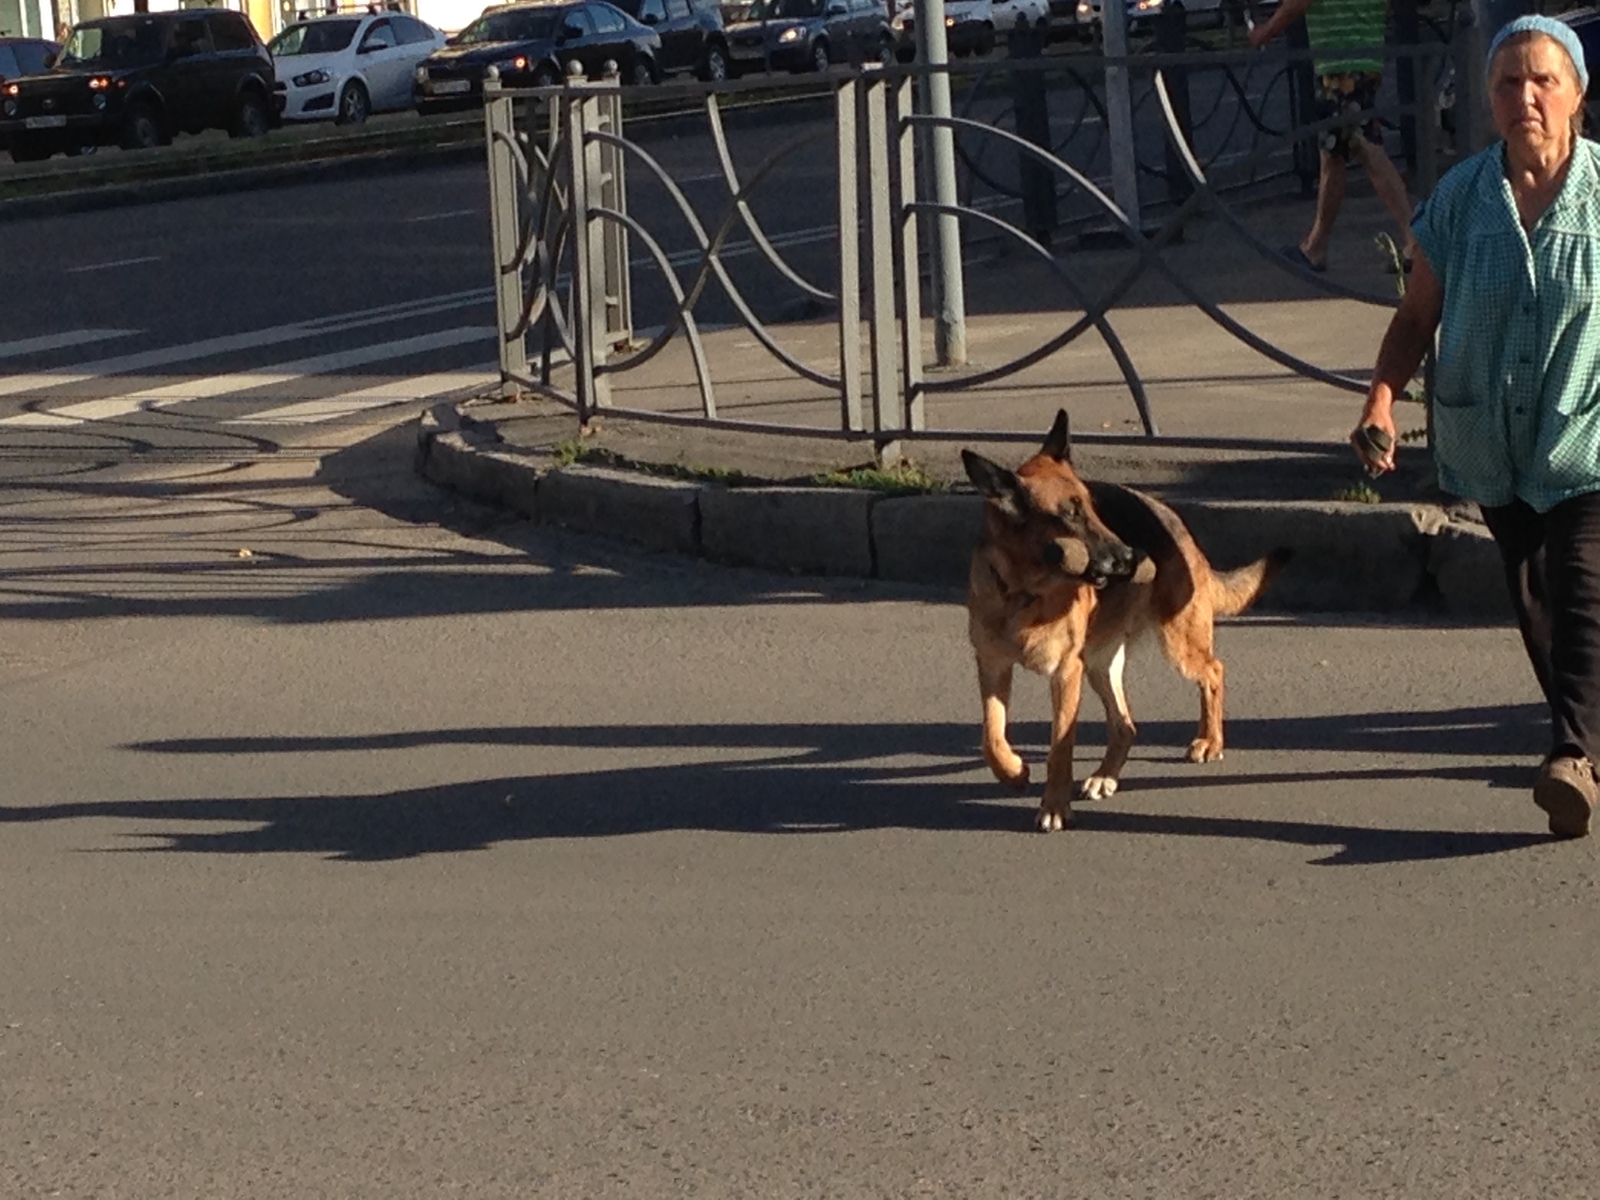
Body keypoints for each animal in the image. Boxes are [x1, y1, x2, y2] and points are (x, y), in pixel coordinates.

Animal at [960, 412, 1286, 838]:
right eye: (1069, 515)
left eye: (1093, 508)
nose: (1132, 557)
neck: (1022, 592)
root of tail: (1168, 516)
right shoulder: (992, 667)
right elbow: (991, 736)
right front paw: (1013, 772)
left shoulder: (1065, 673)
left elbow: (1060, 748)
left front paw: (1054, 806)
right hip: (1100, 665)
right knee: (1126, 726)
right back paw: (1105, 776)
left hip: (1174, 644)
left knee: (1213, 671)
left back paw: (1210, 740)